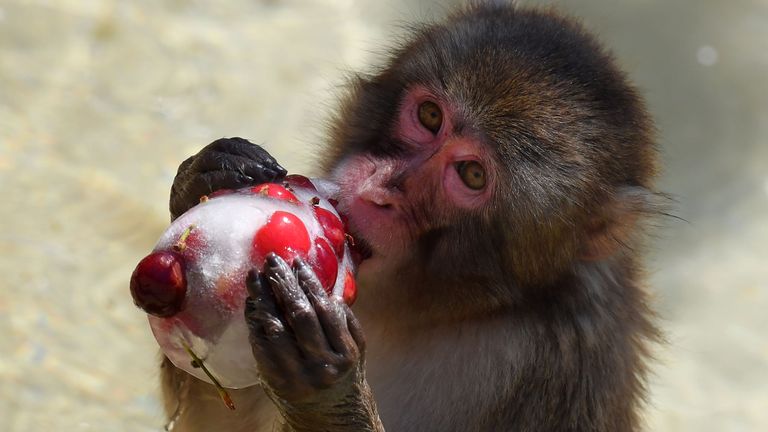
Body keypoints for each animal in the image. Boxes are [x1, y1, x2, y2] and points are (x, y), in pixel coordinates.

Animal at [161, 3, 661, 431]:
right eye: (429, 115)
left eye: (473, 174)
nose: (380, 190)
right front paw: (201, 179)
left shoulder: (559, 364)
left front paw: (325, 386)